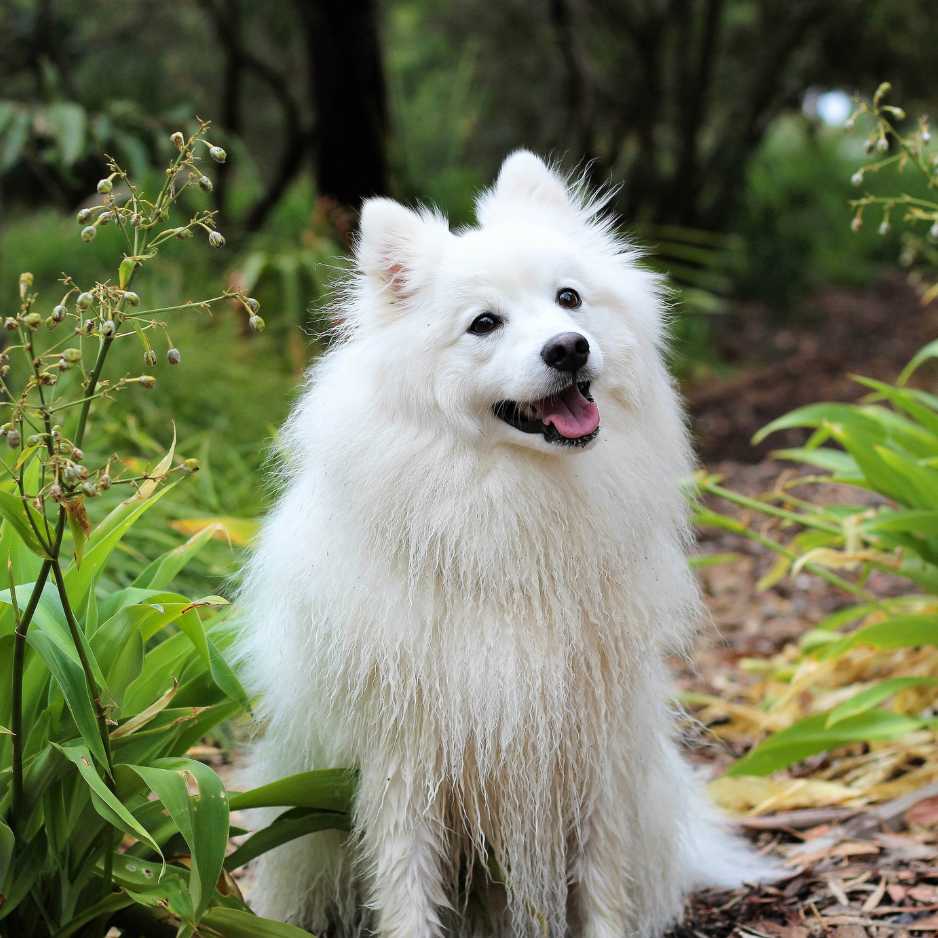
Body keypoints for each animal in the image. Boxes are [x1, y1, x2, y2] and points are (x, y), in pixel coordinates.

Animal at [236, 150, 776, 932]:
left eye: (569, 299)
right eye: (484, 323)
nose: (569, 348)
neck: (515, 508)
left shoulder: (590, 747)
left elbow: (601, 886)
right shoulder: (407, 759)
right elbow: (405, 886)